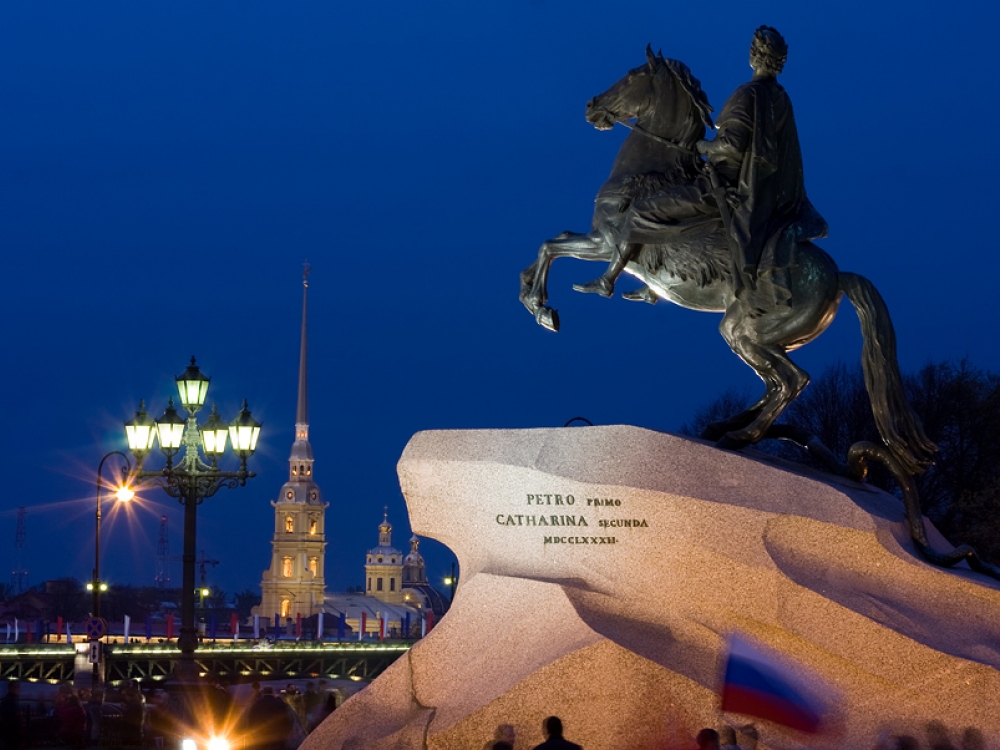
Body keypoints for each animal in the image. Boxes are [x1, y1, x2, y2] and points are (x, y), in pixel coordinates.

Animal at [520, 48, 932, 476]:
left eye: (633, 75)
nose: (592, 106)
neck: (649, 173)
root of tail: (837, 276)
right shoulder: (598, 238)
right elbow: (551, 243)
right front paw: (532, 295)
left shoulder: (607, 241)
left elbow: (552, 247)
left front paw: (548, 307)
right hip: (757, 334)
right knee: (774, 382)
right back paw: (724, 427)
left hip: (750, 331)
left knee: (792, 380)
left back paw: (741, 435)